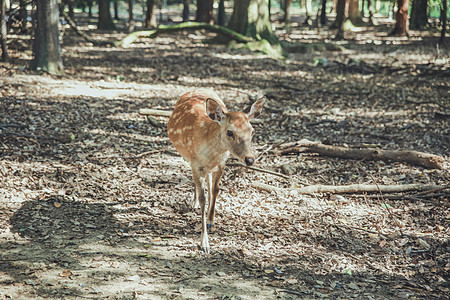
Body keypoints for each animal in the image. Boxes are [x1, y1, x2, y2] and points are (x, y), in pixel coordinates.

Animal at [167, 89, 266, 253]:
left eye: (252, 131)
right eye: (230, 132)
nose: (250, 159)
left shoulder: (221, 163)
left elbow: (216, 190)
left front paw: (210, 220)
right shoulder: (196, 163)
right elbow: (203, 197)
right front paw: (204, 243)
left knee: (209, 181)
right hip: (189, 158)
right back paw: (193, 202)